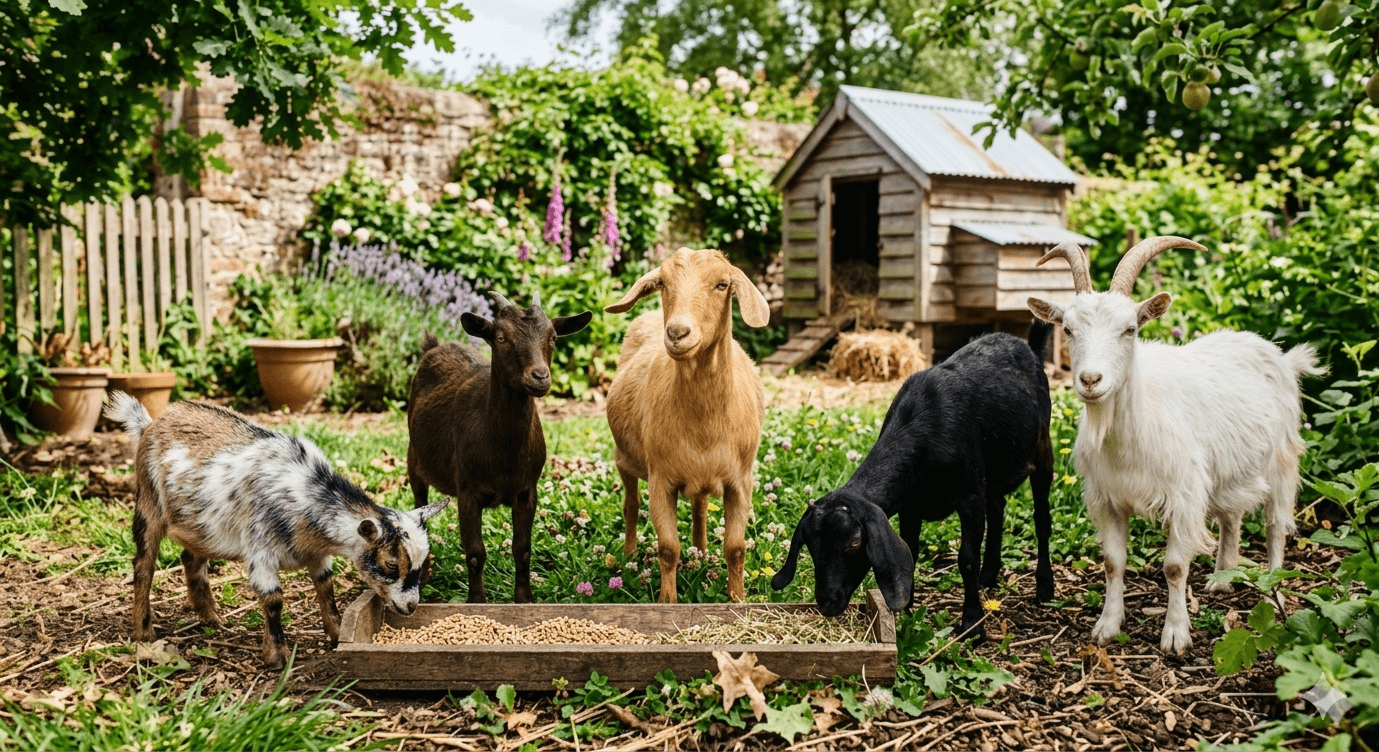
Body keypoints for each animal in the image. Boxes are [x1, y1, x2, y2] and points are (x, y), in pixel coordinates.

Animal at [105, 392, 448, 667]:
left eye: (424, 565)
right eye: (390, 564)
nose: (411, 606)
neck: (306, 494)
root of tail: (151, 423)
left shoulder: (316, 554)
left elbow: (326, 588)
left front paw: (338, 634)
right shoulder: (261, 551)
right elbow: (273, 600)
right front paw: (277, 657)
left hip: (204, 526)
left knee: (191, 559)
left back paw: (212, 619)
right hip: (149, 504)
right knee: (144, 564)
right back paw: (144, 632)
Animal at [406, 291, 591, 603]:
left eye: (553, 337)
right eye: (501, 337)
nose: (539, 376)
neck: (503, 454)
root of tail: (434, 346)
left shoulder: (527, 491)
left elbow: (522, 549)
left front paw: (525, 599)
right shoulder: (468, 492)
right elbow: (475, 553)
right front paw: (476, 601)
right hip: (413, 458)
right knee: (420, 508)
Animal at [603, 247, 772, 603]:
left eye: (722, 284)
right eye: (664, 283)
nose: (678, 333)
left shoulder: (740, 481)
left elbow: (736, 548)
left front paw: (737, 598)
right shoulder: (661, 480)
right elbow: (668, 548)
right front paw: (668, 601)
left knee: (699, 508)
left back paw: (702, 550)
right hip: (624, 459)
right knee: (630, 505)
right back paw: (628, 553)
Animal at [772, 323, 1055, 637]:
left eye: (855, 542)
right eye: (809, 545)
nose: (826, 603)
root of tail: (1026, 346)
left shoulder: (970, 495)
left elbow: (967, 559)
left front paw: (972, 625)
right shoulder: (911, 505)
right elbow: (911, 549)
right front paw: (905, 614)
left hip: (1042, 451)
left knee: (1042, 520)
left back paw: (1045, 588)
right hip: (993, 472)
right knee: (998, 510)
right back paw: (989, 576)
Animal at [1027, 236, 1323, 654]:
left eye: (1130, 329)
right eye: (1067, 329)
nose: (1090, 380)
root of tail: (1280, 356)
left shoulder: (1184, 496)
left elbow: (1174, 566)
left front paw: (1175, 634)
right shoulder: (1107, 498)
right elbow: (1113, 562)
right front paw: (1107, 626)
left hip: (1281, 462)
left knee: (1275, 528)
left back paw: (1274, 593)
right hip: (1225, 472)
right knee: (1231, 518)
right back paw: (1221, 577)